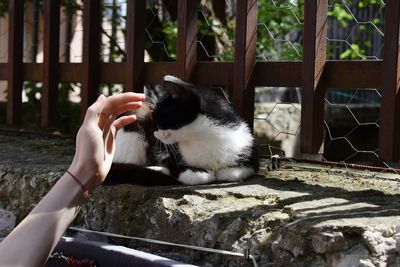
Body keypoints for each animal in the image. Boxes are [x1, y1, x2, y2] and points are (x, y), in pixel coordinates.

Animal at [104, 74, 258, 185]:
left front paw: (224, 172)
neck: (202, 138)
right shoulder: (167, 154)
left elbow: (234, 172)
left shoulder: (250, 153)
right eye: (153, 119)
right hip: (136, 119)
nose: (153, 131)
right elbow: (197, 176)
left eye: (159, 121)